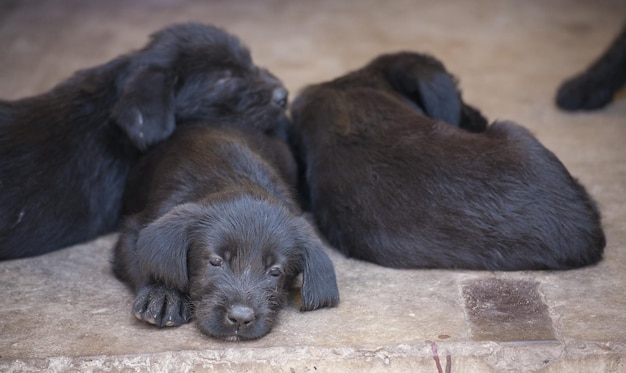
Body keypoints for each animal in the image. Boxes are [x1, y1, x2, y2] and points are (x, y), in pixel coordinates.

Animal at [112, 125, 336, 340]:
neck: (235, 179)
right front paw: (162, 294)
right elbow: (146, 260)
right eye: (215, 261)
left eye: (275, 271)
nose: (240, 318)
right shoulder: (135, 229)